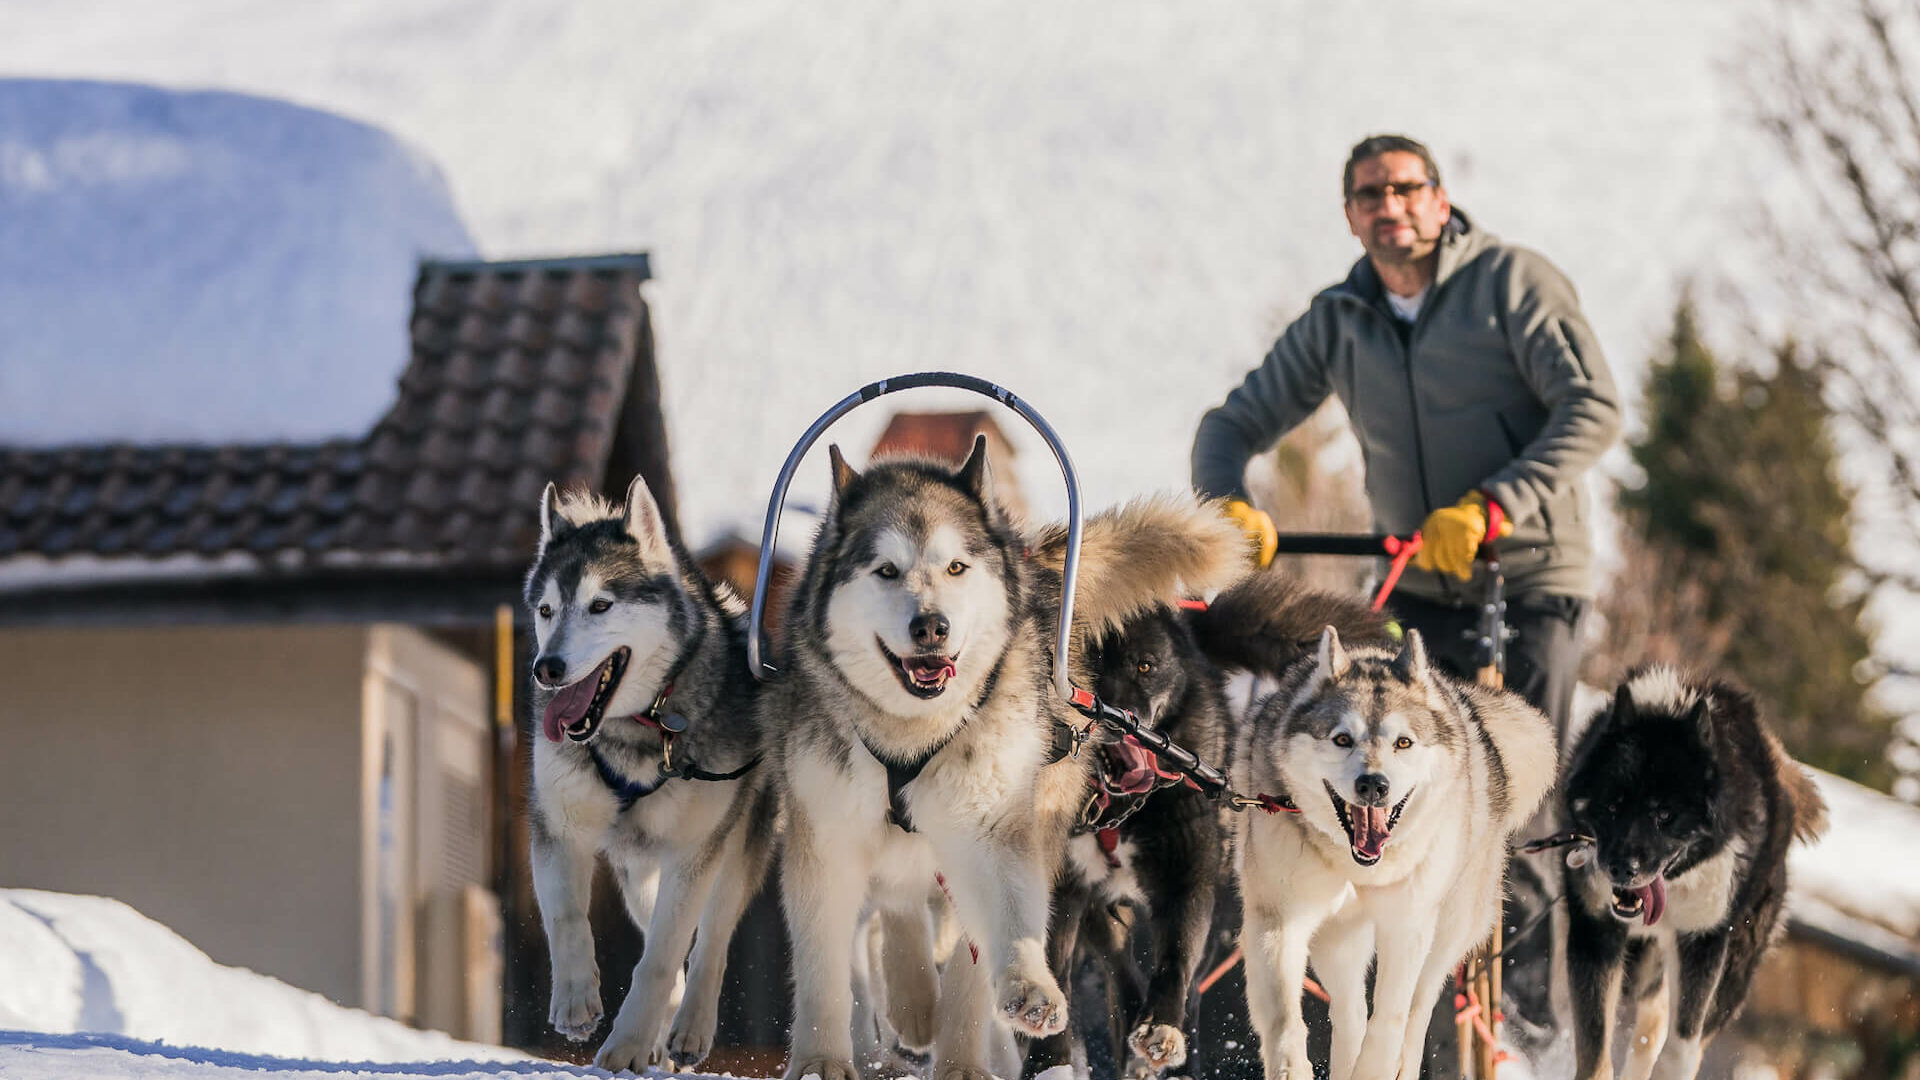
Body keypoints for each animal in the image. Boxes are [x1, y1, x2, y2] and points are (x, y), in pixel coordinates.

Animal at [522, 476, 775, 1068]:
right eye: (546, 610)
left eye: (600, 605)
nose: (546, 669)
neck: (639, 726)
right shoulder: (557, 826)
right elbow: (566, 917)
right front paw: (576, 1000)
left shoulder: (695, 851)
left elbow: (664, 954)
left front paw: (627, 1044)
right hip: (638, 872)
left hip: (735, 847)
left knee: (709, 940)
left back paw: (688, 1026)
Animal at [764, 434, 1244, 1076]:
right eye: (886, 570)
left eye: (956, 567)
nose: (932, 626)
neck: (912, 734)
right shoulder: (827, 834)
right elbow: (824, 962)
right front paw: (821, 1058)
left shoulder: (994, 828)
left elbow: (1003, 928)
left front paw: (1020, 998)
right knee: (895, 909)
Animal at [1036, 572, 1397, 1076]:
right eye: (1088, 661)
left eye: (1145, 666)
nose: (1122, 721)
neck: (1120, 806)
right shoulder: (1064, 884)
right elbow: (1055, 965)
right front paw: (1047, 1056)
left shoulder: (1189, 873)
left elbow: (1176, 959)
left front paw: (1162, 1027)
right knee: (1118, 966)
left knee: (1185, 982)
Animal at [1228, 622, 1559, 1076]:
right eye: (1342, 739)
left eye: (1403, 743)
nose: (1373, 784)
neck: (1359, 865)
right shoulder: (1277, 921)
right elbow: (1286, 1023)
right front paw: (1292, 1067)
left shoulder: (1408, 924)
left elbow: (1390, 1021)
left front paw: (1377, 1068)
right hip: (1338, 942)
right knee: (1349, 1013)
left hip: (1447, 933)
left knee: (1418, 1011)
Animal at [1566, 664, 1820, 1076]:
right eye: (1613, 806)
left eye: (1665, 815)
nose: (1622, 868)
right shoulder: (1595, 932)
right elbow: (1595, 1054)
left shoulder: (1703, 940)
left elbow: (1682, 1046)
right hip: (1641, 966)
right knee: (1650, 1024)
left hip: (1732, 967)